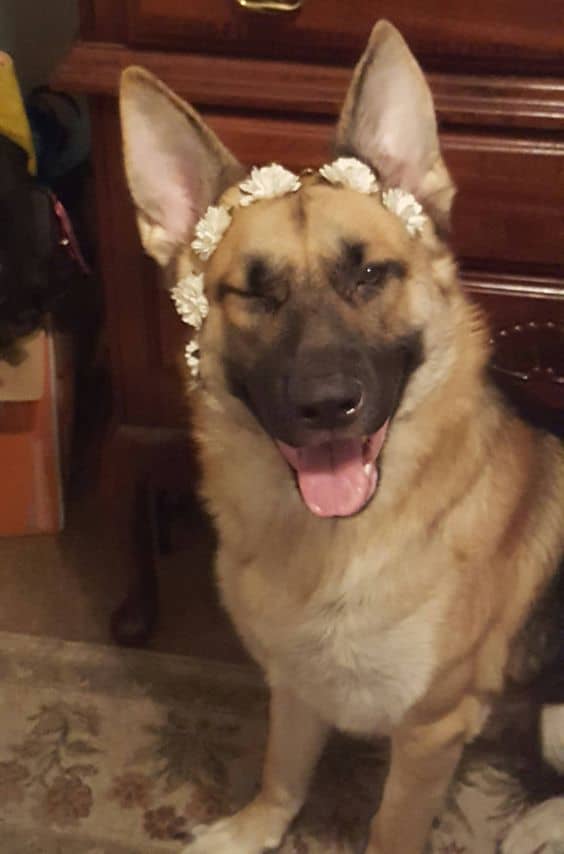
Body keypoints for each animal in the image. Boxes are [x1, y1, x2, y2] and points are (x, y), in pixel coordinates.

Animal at [120, 20, 564, 854]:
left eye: (369, 276)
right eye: (253, 294)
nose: (328, 406)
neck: (328, 542)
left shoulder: (429, 735)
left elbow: (390, 825)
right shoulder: (293, 685)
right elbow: (282, 771)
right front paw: (254, 829)